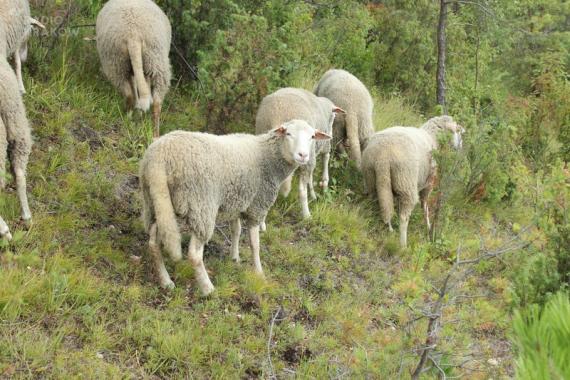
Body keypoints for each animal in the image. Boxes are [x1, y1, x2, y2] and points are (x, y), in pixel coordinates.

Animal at [96, 0, 171, 138]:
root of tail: (133, 34)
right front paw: (140, 113)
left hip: (116, 63)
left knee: (129, 93)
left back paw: (127, 117)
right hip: (155, 61)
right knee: (156, 102)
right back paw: (154, 133)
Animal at [139, 120, 330, 296]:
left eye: (312, 137)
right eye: (288, 133)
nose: (303, 155)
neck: (268, 156)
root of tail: (159, 158)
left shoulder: (237, 202)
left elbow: (236, 230)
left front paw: (234, 257)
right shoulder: (256, 206)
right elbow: (255, 244)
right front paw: (259, 273)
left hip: (157, 203)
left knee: (153, 244)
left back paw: (165, 281)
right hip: (201, 204)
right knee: (194, 254)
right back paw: (208, 288)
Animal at [362, 114, 464, 248]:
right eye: (458, 132)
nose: (460, 148)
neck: (433, 137)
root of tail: (383, 156)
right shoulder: (428, 182)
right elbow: (424, 205)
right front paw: (429, 228)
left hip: (372, 176)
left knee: (377, 201)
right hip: (406, 182)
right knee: (404, 217)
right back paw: (403, 245)